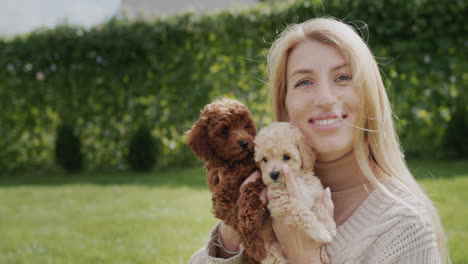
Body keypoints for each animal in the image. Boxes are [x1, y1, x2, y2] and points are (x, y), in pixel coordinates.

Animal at [186, 99, 266, 264]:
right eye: (224, 131)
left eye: (245, 126)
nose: (245, 143)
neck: (233, 163)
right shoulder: (221, 198)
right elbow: (236, 219)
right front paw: (255, 246)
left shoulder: (256, 174)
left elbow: (249, 192)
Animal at [254, 123, 334, 258]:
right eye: (264, 159)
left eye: (287, 157)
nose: (273, 174)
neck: (297, 178)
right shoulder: (281, 203)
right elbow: (301, 211)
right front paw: (319, 231)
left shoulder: (316, 193)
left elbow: (321, 209)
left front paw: (328, 226)